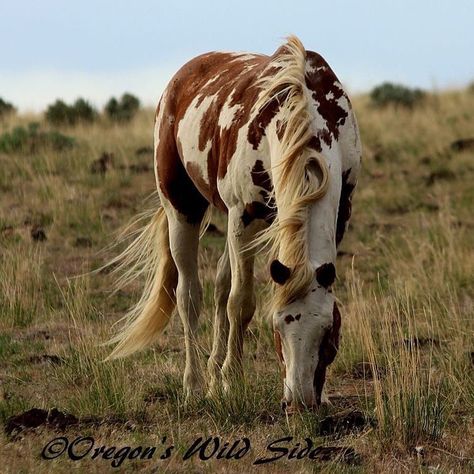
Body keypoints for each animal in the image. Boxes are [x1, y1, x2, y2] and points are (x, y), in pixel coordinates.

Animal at [107, 36, 362, 412]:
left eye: (328, 332)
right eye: (278, 328)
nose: (300, 402)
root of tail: (180, 79)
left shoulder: (340, 212)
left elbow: (231, 297)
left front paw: (325, 394)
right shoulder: (244, 216)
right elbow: (241, 303)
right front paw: (233, 382)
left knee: (219, 287)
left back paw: (212, 378)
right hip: (183, 209)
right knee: (189, 296)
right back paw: (195, 386)